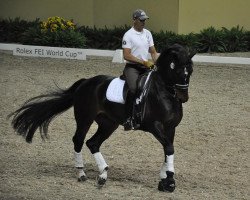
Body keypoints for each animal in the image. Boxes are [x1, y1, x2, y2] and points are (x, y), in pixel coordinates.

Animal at [9, 44, 195, 192]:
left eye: (190, 71)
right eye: (176, 69)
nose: (183, 96)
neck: (164, 93)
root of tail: (86, 83)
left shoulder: (170, 128)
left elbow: (168, 149)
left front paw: (164, 180)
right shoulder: (154, 125)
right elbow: (169, 148)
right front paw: (169, 181)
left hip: (108, 124)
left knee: (93, 143)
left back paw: (103, 175)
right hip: (85, 118)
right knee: (78, 140)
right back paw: (82, 173)